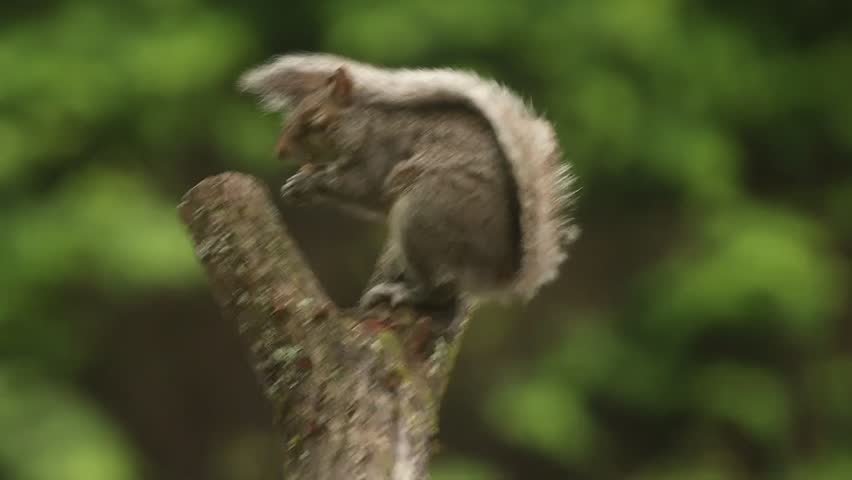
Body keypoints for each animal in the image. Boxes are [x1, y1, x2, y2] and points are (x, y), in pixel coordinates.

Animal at [238, 53, 578, 309]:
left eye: (316, 122)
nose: (280, 151)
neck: (365, 125)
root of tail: (496, 275)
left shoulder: (378, 158)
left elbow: (360, 188)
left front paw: (307, 184)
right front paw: (297, 182)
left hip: (422, 216)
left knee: (437, 292)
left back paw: (402, 292)